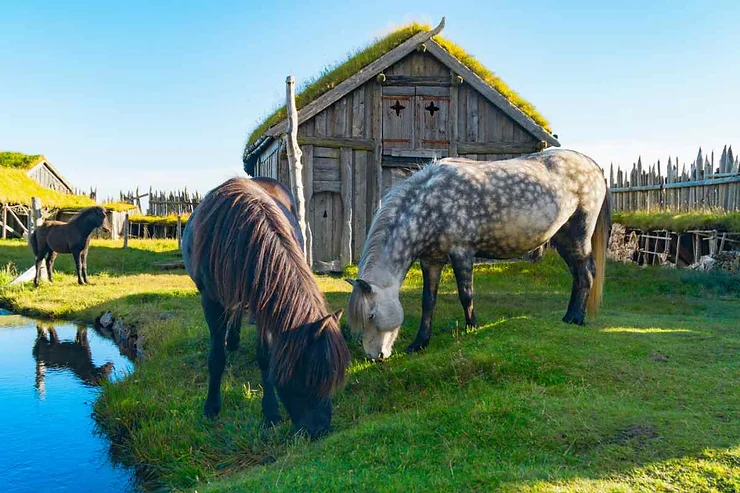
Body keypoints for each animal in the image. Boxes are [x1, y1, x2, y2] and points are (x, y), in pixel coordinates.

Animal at [181, 177, 350, 438]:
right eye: (309, 377)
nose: (320, 430)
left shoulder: (265, 303)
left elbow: (266, 357)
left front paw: (270, 412)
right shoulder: (210, 300)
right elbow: (216, 358)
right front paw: (211, 407)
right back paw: (232, 341)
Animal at [348, 148, 612, 360]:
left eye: (371, 315)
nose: (375, 356)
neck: (429, 204)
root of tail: (593, 165)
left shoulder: (462, 253)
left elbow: (466, 295)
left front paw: (472, 328)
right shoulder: (431, 261)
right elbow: (428, 301)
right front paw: (419, 343)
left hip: (578, 233)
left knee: (587, 272)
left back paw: (576, 318)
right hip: (562, 238)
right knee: (578, 275)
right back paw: (570, 316)